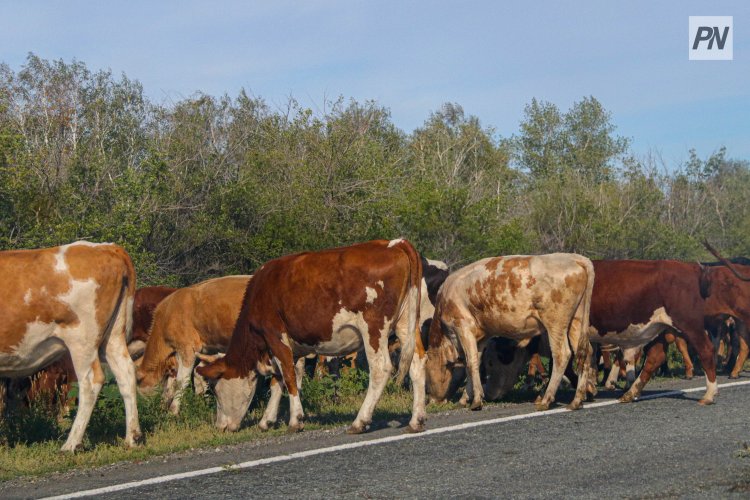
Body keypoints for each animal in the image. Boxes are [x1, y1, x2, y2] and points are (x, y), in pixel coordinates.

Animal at [0, 240, 141, 452]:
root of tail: (106, 247)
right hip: (114, 335)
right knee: (126, 373)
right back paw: (132, 438)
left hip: (81, 340)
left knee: (91, 381)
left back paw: (71, 444)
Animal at [136, 276, 253, 412]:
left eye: (138, 382)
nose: (146, 409)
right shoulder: (208, 349)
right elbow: (199, 373)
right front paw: (202, 402)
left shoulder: (187, 348)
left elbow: (181, 381)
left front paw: (173, 410)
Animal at [197, 238, 426, 434]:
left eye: (215, 390)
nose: (220, 427)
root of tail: (394, 244)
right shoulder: (290, 346)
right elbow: (279, 380)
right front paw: (266, 421)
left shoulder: (275, 335)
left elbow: (288, 376)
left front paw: (295, 420)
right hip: (406, 323)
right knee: (417, 363)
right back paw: (416, 420)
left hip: (374, 328)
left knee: (381, 369)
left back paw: (359, 422)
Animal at [426, 256, 596, 412]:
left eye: (427, 378)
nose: (431, 401)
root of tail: (574, 258)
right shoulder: (481, 336)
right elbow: (475, 363)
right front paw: (466, 398)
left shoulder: (463, 327)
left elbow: (470, 363)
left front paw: (476, 401)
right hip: (576, 321)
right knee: (586, 353)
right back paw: (577, 400)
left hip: (555, 322)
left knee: (562, 355)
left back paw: (546, 400)